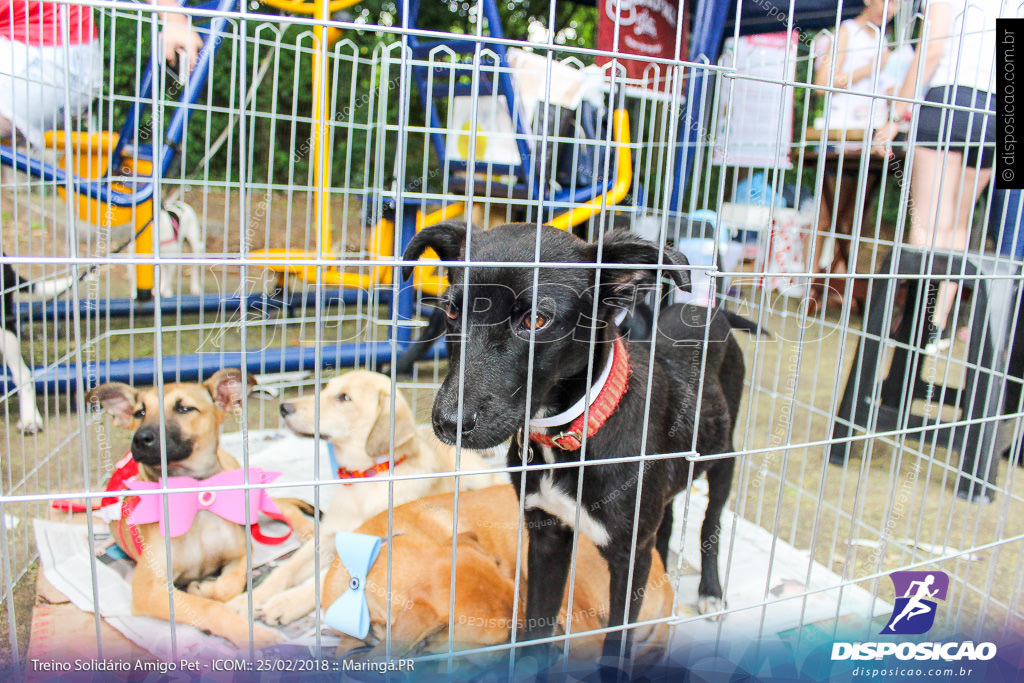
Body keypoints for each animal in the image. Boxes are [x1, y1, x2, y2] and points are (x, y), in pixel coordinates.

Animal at [85, 370, 309, 651]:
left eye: (184, 409)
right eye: (140, 412)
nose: (140, 439)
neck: (196, 501)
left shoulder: (241, 552)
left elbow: (229, 585)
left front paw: (207, 588)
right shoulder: (149, 590)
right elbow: (210, 607)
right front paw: (255, 635)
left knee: (281, 504)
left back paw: (309, 530)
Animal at [239, 370, 503, 626]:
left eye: (344, 398)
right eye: (326, 388)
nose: (284, 408)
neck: (365, 480)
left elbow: (325, 578)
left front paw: (284, 603)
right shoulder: (326, 536)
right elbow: (284, 571)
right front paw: (246, 601)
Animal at [403, 227, 749, 663]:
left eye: (536, 319)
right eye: (450, 312)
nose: (448, 423)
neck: (569, 436)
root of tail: (709, 312)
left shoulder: (629, 559)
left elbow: (615, 646)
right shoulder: (547, 536)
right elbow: (537, 629)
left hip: (724, 459)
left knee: (711, 522)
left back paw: (710, 591)